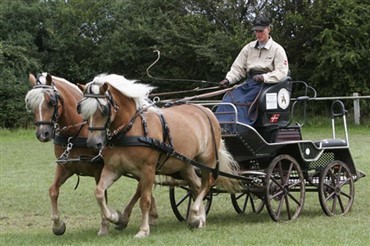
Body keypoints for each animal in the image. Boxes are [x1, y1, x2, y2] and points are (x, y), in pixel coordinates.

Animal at [24, 73, 158, 236]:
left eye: (51, 102)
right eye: (31, 104)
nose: (42, 134)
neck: (75, 133)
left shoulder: (99, 169)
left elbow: (103, 195)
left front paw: (105, 226)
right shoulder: (65, 167)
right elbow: (53, 190)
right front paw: (58, 225)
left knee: (142, 186)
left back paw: (126, 218)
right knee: (144, 186)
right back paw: (148, 217)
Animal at [77, 73, 240, 238]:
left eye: (103, 109)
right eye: (82, 110)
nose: (93, 143)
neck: (130, 129)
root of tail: (206, 110)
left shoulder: (148, 170)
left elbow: (145, 200)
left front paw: (143, 230)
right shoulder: (113, 169)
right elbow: (99, 192)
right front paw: (115, 217)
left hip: (207, 159)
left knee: (207, 184)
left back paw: (194, 213)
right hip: (185, 164)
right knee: (197, 186)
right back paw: (199, 219)